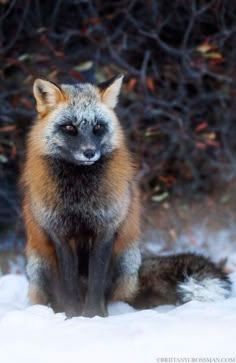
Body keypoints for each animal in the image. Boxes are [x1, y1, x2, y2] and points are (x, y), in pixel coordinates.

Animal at [21, 74, 141, 318]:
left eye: (98, 127)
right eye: (69, 127)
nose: (89, 152)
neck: (79, 198)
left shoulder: (105, 230)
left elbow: (96, 282)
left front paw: (93, 316)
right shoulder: (60, 234)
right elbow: (70, 284)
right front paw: (73, 316)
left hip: (127, 262)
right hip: (39, 267)